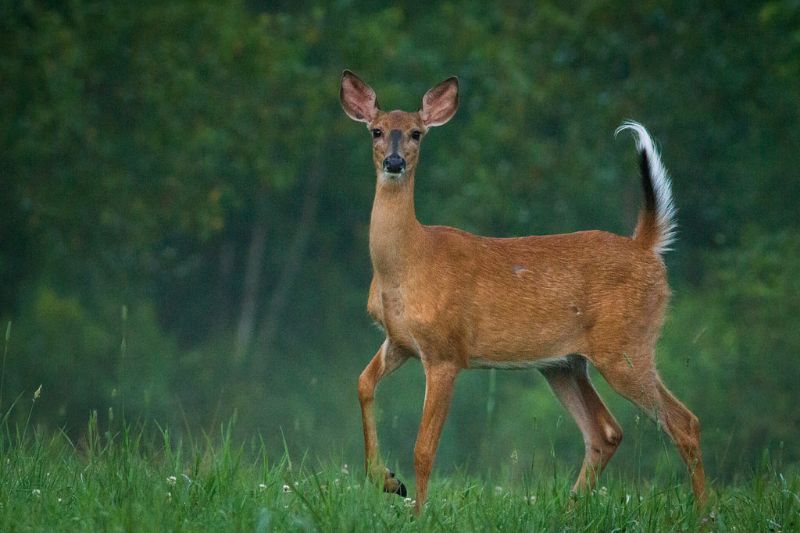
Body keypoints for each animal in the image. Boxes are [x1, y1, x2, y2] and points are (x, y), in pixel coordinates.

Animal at [340, 69, 704, 512]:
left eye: (416, 133)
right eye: (376, 131)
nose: (395, 162)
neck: (409, 261)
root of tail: (646, 246)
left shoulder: (446, 352)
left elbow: (424, 449)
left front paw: (418, 512)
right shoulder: (399, 341)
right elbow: (362, 384)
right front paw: (388, 481)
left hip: (626, 346)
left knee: (684, 422)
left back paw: (705, 514)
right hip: (564, 363)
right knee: (606, 431)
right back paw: (571, 509)